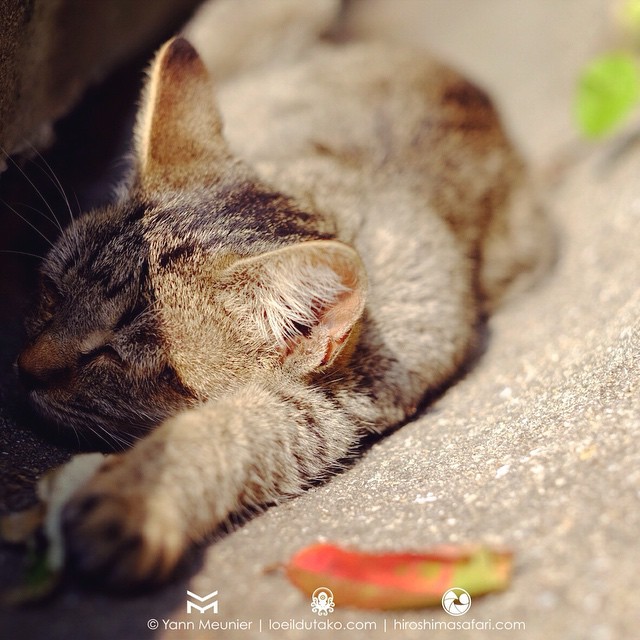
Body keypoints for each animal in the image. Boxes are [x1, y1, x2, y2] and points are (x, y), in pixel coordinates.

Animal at [17, 0, 552, 588]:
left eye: (110, 355)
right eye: (51, 290)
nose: (23, 368)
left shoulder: (325, 413)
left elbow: (231, 429)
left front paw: (136, 502)